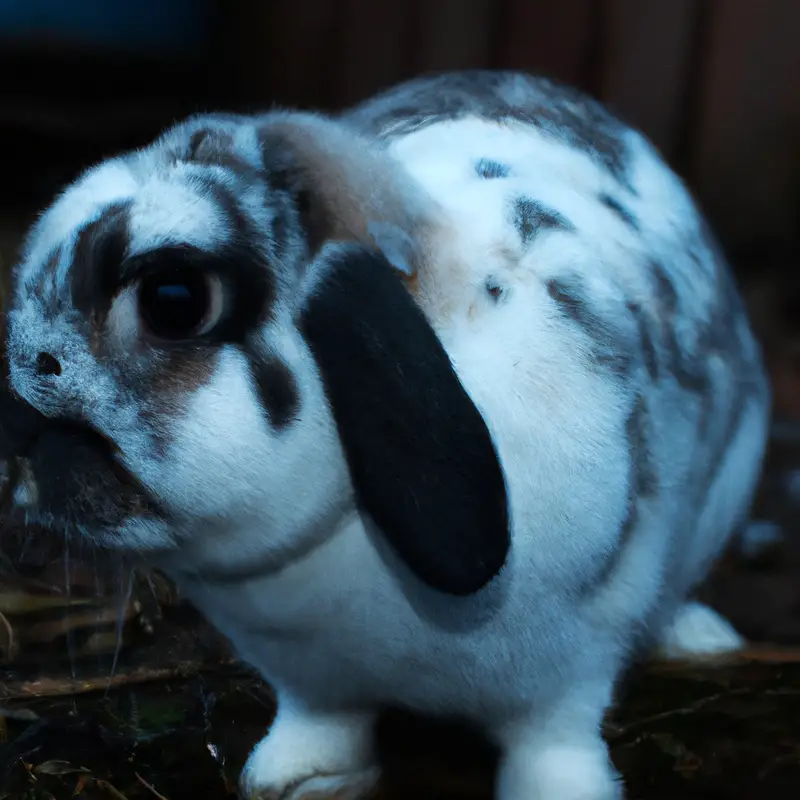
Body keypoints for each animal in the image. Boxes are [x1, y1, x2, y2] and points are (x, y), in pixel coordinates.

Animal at [3, 70, 772, 800]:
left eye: (173, 299)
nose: (21, 406)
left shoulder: (573, 674)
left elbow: (555, 746)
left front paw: (561, 793)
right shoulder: (309, 676)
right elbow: (323, 727)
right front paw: (294, 781)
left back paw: (702, 637)